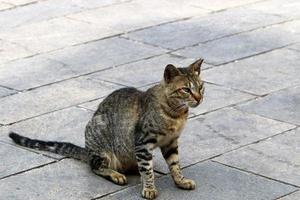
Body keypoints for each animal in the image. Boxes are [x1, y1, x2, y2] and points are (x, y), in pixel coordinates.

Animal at [9, 58, 206, 200]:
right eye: (186, 90)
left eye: (201, 87)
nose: (199, 98)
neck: (177, 115)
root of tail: (87, 150)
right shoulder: (143, 142)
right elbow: (148, 170)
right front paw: (149, 188)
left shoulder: (171, 142)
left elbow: (175, 164)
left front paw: (180, 180)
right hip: (100, 140)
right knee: (95, 166)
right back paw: (116, 174)